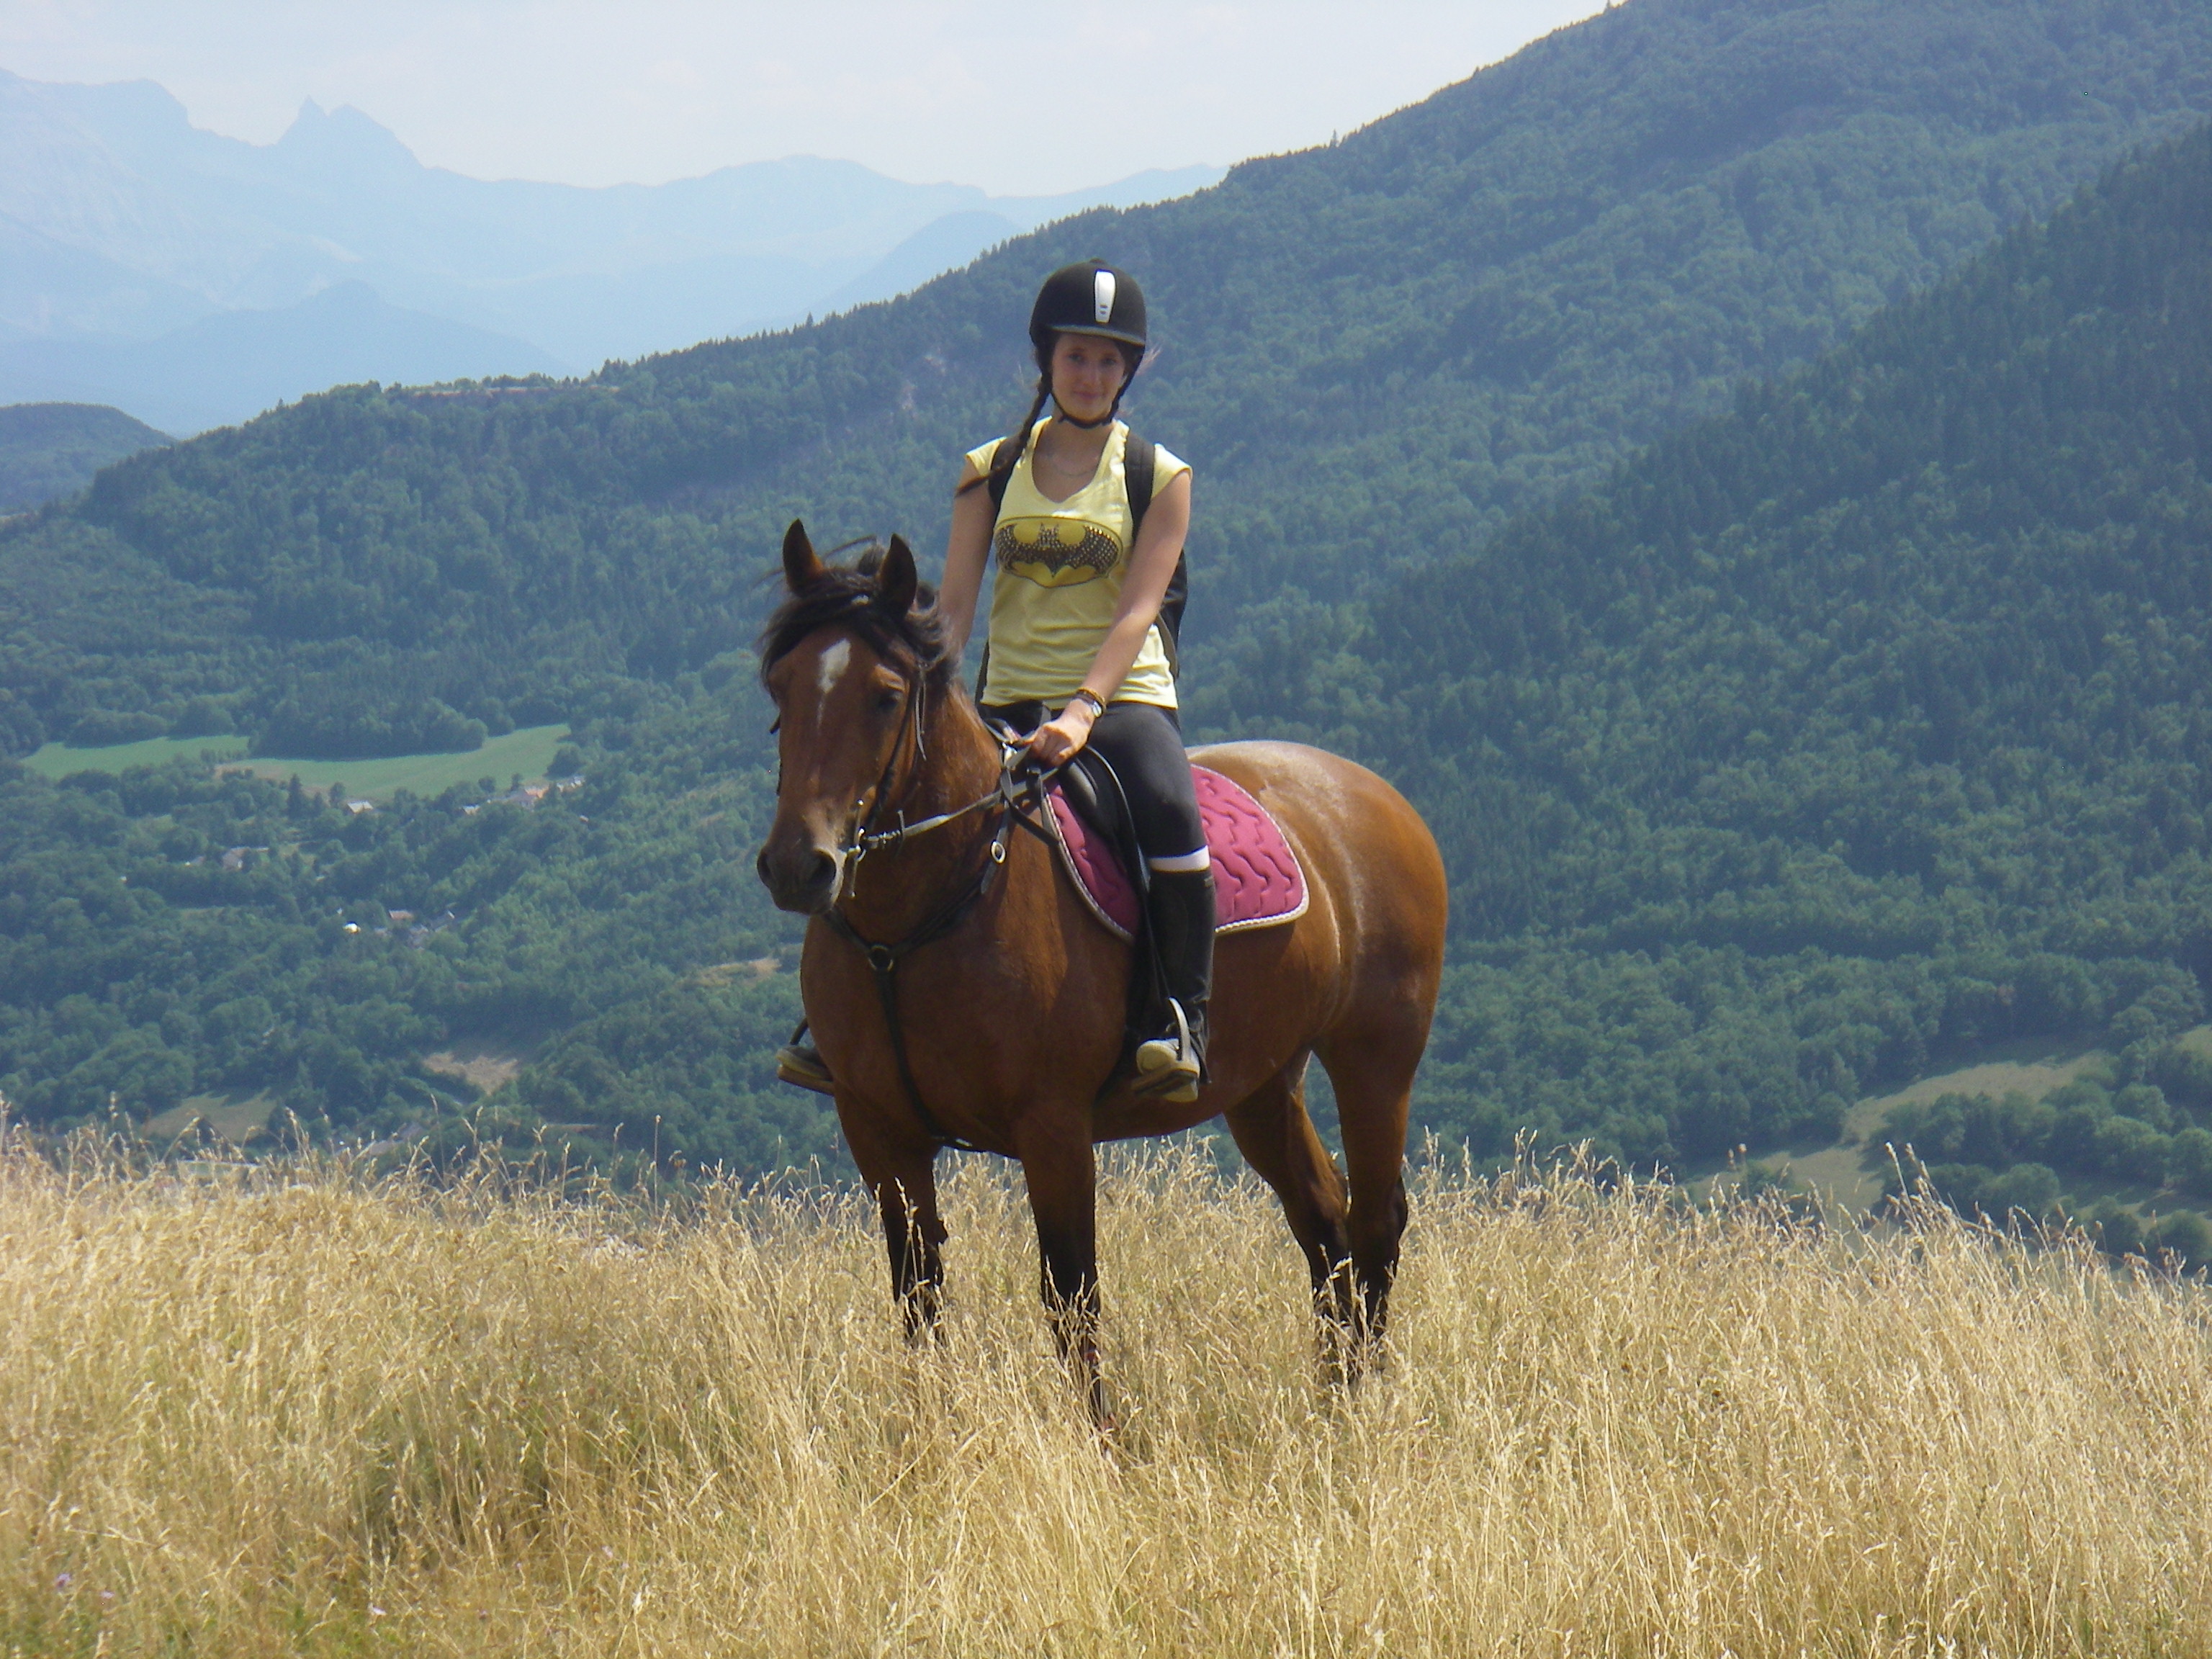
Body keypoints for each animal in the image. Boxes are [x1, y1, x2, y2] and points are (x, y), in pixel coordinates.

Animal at [754, 522, 1448, 1419]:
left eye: (883, 694)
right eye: (780, 686)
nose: (797, 867)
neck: (911, 928)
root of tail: (1371, 793)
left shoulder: (1053, 1126)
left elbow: (1070, 1295)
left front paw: (1105, 1441)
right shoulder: (878, 1130)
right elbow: (919, 1295)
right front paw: (932, 1433)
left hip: (1375, 1057)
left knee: (1375, 1220)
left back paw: (1362, 1406)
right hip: (1261, 1081)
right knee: (1324, 1220)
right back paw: (1331, 1400)